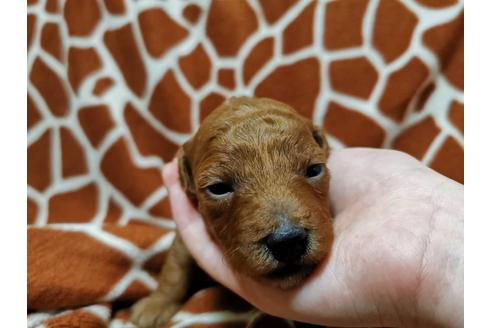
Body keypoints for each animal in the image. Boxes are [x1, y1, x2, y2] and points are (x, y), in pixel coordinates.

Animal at [130, 97, 334, 328]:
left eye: (314, 170)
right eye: (218, 188)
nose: (288, 242)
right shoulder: (183, 238)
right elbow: (175, 267)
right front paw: (156, 304)